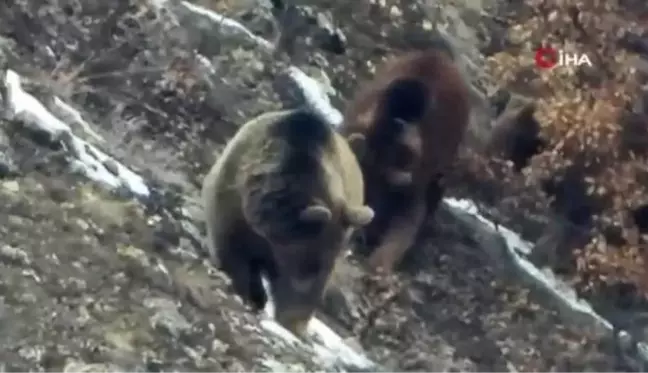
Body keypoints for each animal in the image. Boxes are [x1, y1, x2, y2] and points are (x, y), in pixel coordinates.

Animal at [202, 107, 374, 334]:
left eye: (317, 266)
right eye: (308, 265)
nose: (295, 324)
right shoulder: (232, 201)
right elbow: (231, 248)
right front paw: (252, 293)